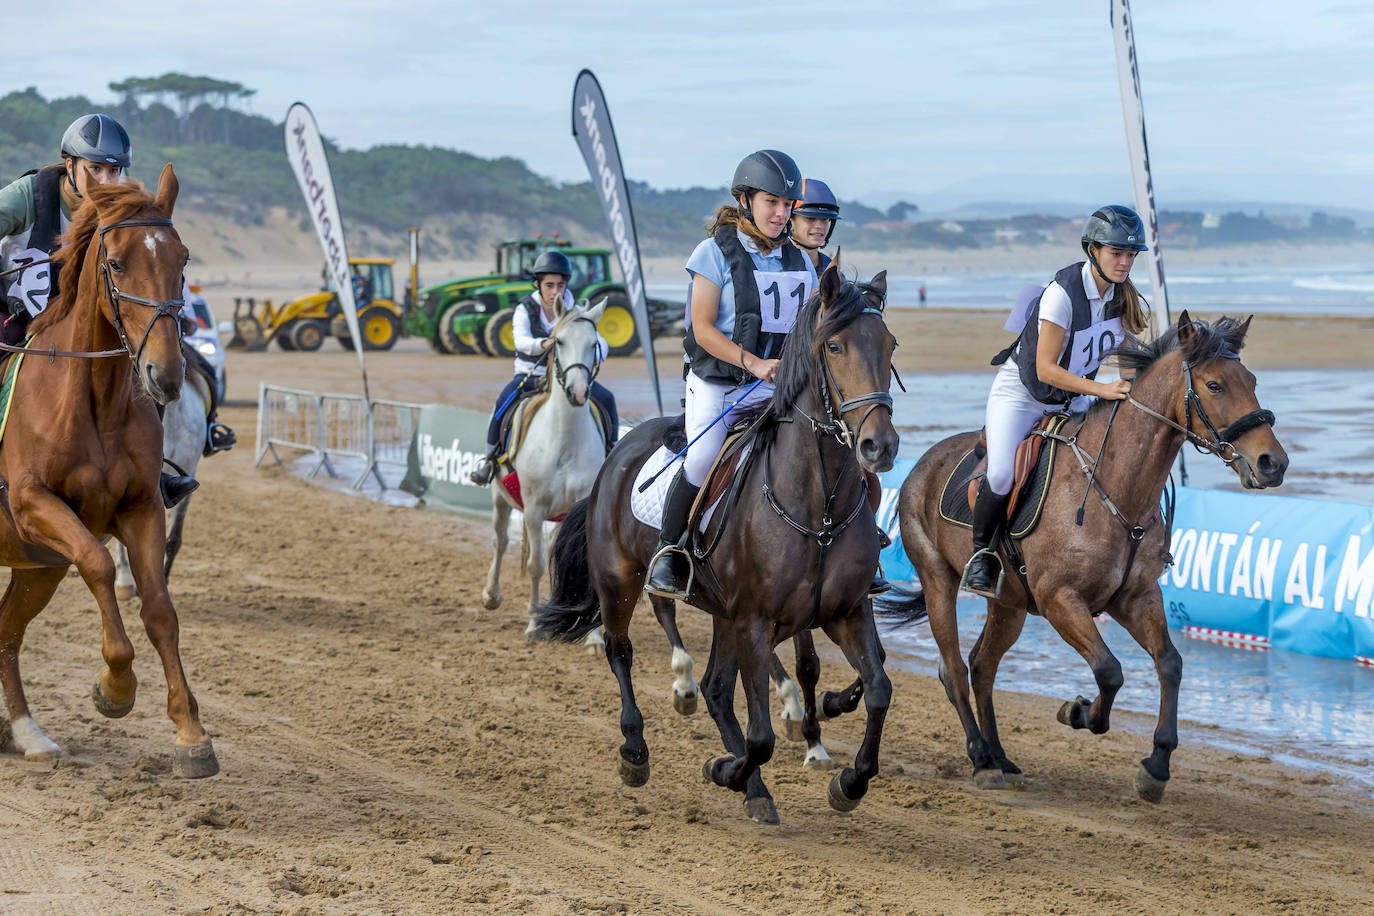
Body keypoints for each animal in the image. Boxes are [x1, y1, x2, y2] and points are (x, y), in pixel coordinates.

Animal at [0, 166, 217, 780]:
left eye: (182, 260)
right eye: (116, 263)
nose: (166, 375)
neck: (90, 399)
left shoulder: (141, 508)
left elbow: (160, 609)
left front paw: (191, 734)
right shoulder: (34, 505)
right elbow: (97, 561)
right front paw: (115, 689)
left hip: (37, 569)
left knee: (7, 633)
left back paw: (27, 734)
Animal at [535, 260, 901, 829]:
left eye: (889, 345)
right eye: (836, 347)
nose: (878, 446)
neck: (817, 508)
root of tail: (619, 450)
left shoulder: (845, 611)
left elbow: (879, 688)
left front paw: (849, 782)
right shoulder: (754, 622)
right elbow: (762, 735)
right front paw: (726, 769)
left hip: (723, 614)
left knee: (714, 688)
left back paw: (750, 783)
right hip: (621, 582)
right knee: (622, 652)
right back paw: (637, 753)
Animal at [884, 313, 1280, 802]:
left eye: (1252, 380)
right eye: (1214, 385)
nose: (1273, 463)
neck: (1118, 488)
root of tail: (919, 466)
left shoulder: (1135, 598)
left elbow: (1170, 664)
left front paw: (1157, 764)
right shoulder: (1060, 600)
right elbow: (1110, 671)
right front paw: (1078, 713)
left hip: (1009, 604)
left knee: (982, 666)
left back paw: (999, 756)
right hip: (938, 580)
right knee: (955, 670)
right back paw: (982, 759)